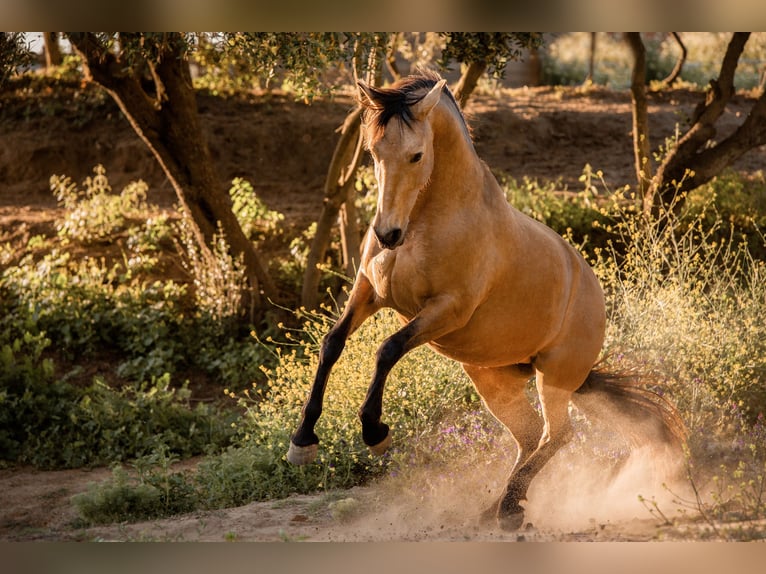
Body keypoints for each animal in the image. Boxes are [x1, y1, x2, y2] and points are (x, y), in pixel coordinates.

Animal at [286, 72, 684, 532]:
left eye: (416, 155)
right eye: (372, 152)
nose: (387, 234)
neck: (429, 220)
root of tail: (593, 292)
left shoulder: (445, 311)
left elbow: (387, 349)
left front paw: (375, 432)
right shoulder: (369, 292)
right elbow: (331, 344)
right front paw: (302, 442)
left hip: (553, 377)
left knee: (557, 435)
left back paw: (509, 508)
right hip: (493, 379)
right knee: (529, 435)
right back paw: (497, 507)